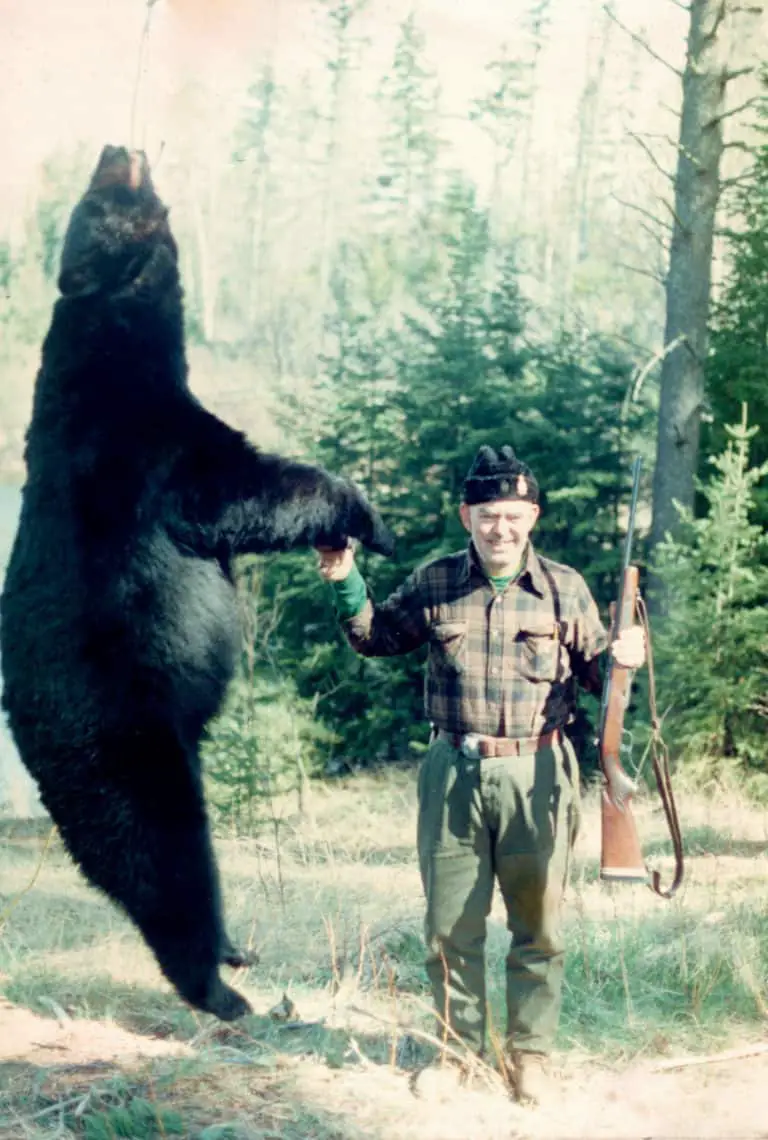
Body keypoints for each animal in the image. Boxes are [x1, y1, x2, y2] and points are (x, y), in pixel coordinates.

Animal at [0, 145, 394, 1021]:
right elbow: (245, 490)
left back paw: (234, 957)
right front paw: (366, 513)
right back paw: (222, 987)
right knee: (165, 865)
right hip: (131, 745)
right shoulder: (149, 449)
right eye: (100, 195)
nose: (118, 147)